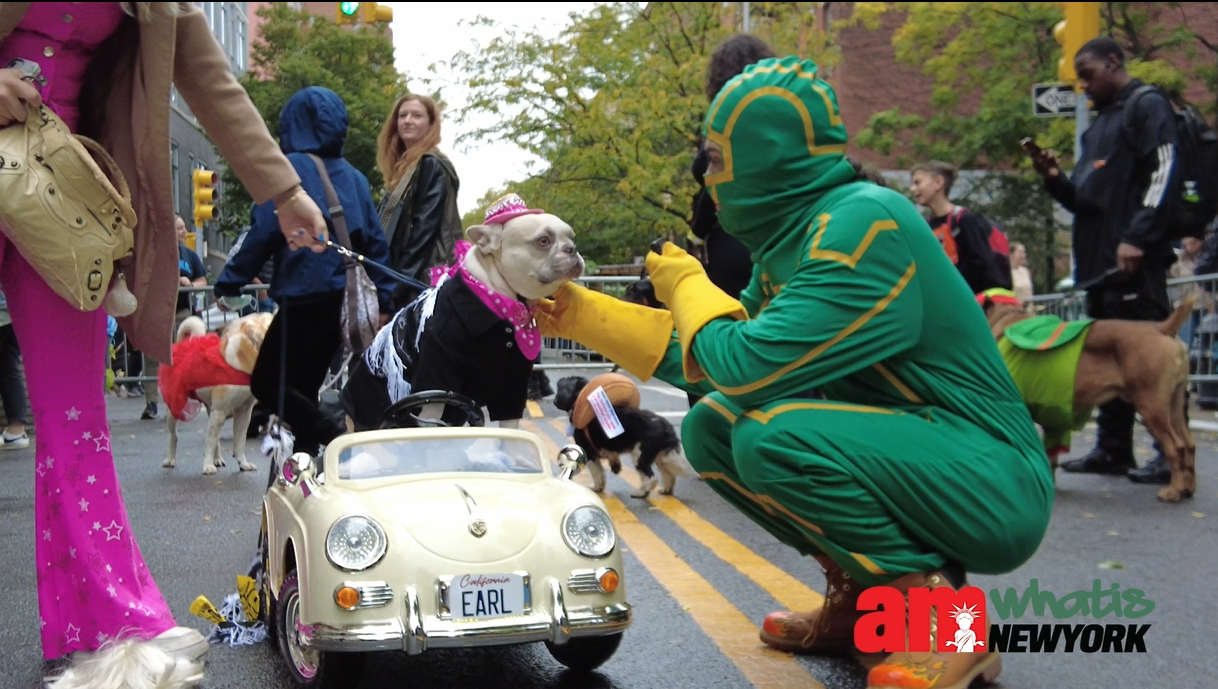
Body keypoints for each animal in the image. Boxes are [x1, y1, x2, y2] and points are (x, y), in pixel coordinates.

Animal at [552, 374, 696, 499]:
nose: (554, 401)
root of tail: (666, 426)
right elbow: (609, 462)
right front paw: (614, 468)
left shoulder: (589, 452)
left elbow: (597, 473)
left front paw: (597, 488)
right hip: (659, 457)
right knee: (668, 475)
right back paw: (666, 490)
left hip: (640, 456)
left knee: (651, 477)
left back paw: (641, 492)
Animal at [984, 294, 1193, 503]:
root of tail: (1161, 328)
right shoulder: (1053, 419)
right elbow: (1050, 456)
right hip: (1173, 406)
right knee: (1189, 445)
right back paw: (1188, 488)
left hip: (1151, 410)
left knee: (1176, 448)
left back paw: (1174, 490)